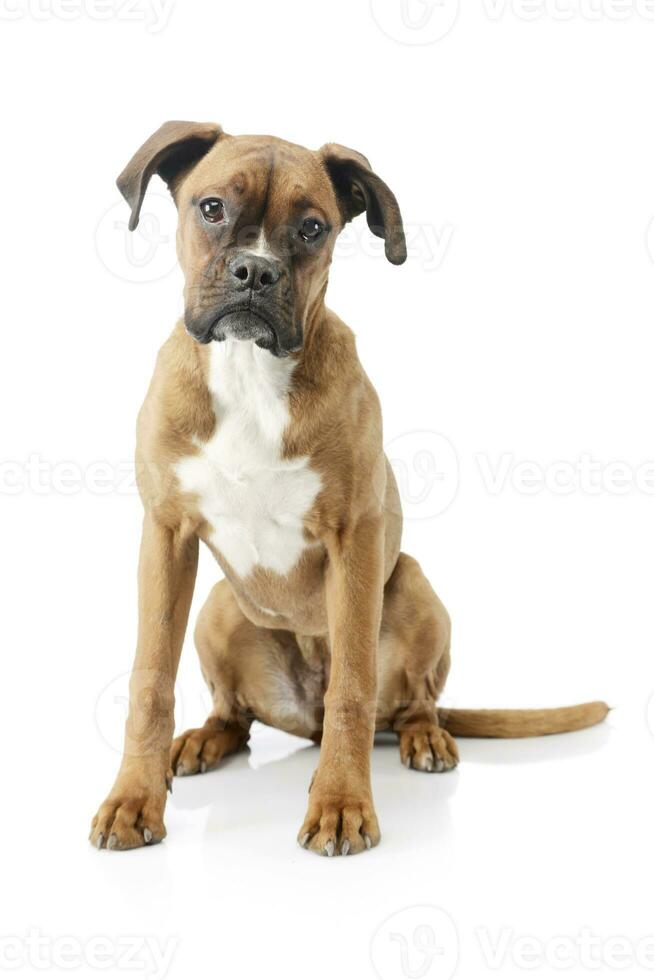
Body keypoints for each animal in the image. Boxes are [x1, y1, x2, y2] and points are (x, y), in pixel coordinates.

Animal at [89, 124, 608, 856]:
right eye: (211, 207)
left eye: (313, 227)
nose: (256, 272)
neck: (249, 373)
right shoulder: (166, 536)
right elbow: (149, 681)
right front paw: (134, 797)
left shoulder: (355, 540)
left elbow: (353, 689)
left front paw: (339, 801)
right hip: (218, 605)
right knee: (234, 715)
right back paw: (201, 741)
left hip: (413, 586)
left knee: (407, 700)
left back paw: (424, 737)